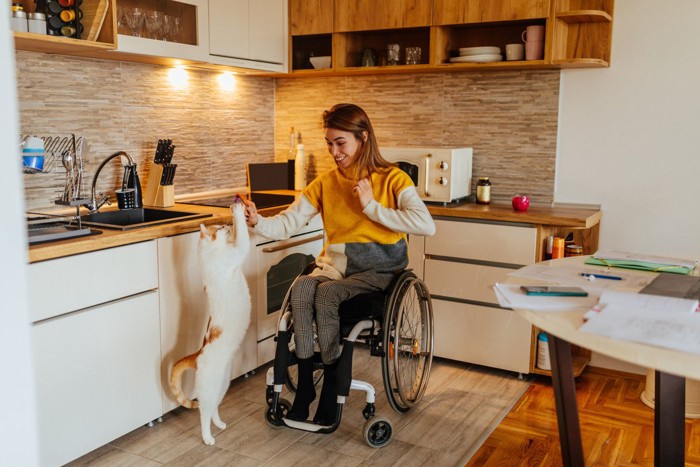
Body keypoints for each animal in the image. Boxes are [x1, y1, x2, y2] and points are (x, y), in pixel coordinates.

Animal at [170, 200, 252, 446]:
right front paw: (237, 212)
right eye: (220, 228)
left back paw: (220, 424)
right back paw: (208, 437)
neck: (211, 254)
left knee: (214, 406)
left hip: (222, 384)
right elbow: (243, 239)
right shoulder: (238, 251)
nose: (226, 224)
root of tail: (197, 355)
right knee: (203, 413)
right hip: (209, 387)